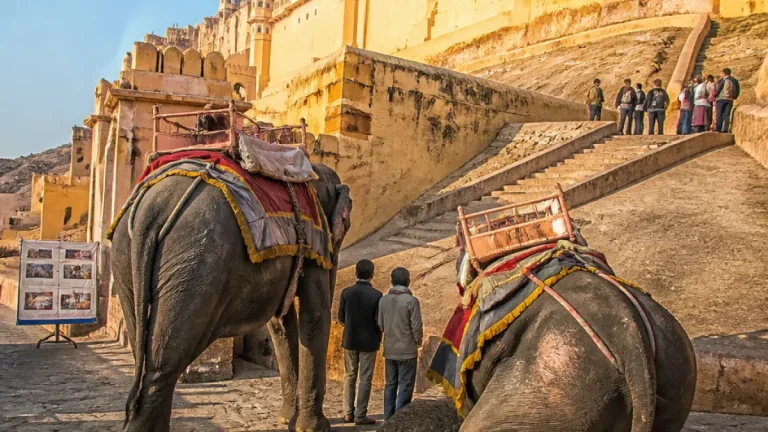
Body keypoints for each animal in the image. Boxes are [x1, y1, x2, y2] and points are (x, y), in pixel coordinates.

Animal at [110, 163, 352, 432]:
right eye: (345, 224)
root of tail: (150, 210)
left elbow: (280, 322)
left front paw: (286, 419)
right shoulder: (315, 236)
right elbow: (314, 315)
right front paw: (311, 427)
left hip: (125, 257)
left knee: (143, 352)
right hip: (197, 259)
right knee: (164, 364)